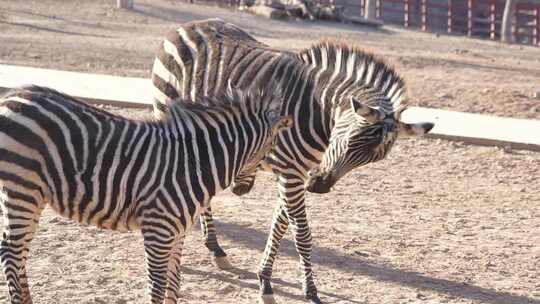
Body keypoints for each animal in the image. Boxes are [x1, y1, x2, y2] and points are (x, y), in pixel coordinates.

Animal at [0, 85, 292, 304]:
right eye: (269, 152)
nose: (243, 189)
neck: (195, 163)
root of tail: (12, 96)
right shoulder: (158, 230)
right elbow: (157, 285)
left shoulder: (178, 231)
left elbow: (174, 283)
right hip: (21, 189)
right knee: (11, 254)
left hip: (31, 194)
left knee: (18, 251)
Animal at [151, 19, 434, 304]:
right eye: (350, 140)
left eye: (370, 160)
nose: (320, 186)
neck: (318, 111)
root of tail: (190, 24)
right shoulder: (291, 172)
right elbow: (302, 234)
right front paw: (310, 291)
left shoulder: (295, 173)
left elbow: (280, 225)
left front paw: (265, 280)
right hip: (166, 110)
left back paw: (215, 249)